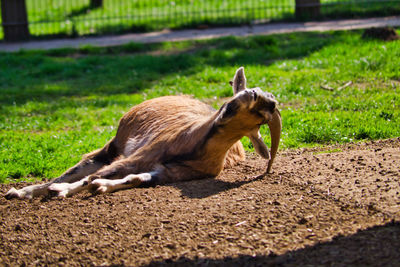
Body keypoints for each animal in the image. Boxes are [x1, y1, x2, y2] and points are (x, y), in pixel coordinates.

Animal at [5, 68, 282, 200]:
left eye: (260, 118)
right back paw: (22, 191)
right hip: (114, 145)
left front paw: (101, 187)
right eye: (252, 93)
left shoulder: (169, 172)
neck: (193, 146)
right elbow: (91, 176)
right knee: (79, 167)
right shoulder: (135, 157)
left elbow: (137, 179)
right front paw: (61, 191)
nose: (226, 110)